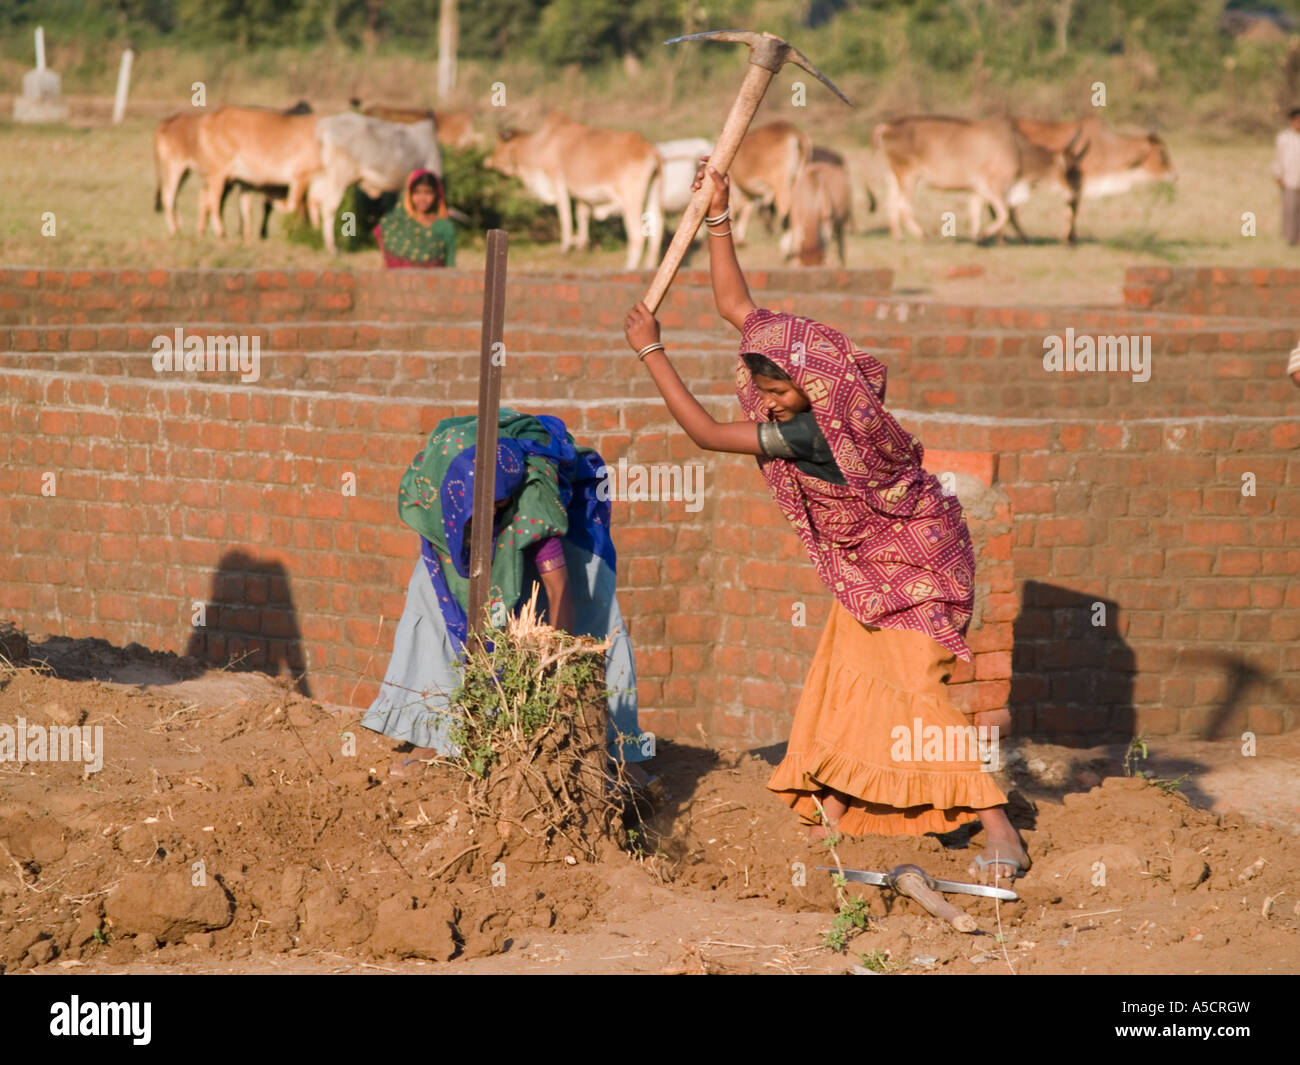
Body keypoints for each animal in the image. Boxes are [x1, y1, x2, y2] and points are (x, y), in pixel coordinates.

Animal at [488, 111, 670, 269]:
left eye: (498, 146)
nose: (488, 161)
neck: (541, 145)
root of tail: (650, 149)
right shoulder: (582, 197)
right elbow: (582, 215)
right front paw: (582, 247)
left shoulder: (558, 182)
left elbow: (566, 217)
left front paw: (564, 248)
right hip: (653, 194)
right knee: (657, 227)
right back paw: (649, 266)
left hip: (631, 199)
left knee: (637, 234)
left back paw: (629, 267)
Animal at [873, 115, 1086, 244]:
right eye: (1071, 172)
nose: (1073, 195)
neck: (1017, 150)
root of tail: (886, 127)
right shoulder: (994, 186)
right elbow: (1004, 214)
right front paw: (984, 235)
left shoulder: (978, 189)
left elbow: (975, 209)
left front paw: (976, 237)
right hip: (909, 177)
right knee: (903, 206)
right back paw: (922, 235)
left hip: (895, 177)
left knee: (892, 204)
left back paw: (898, 236)